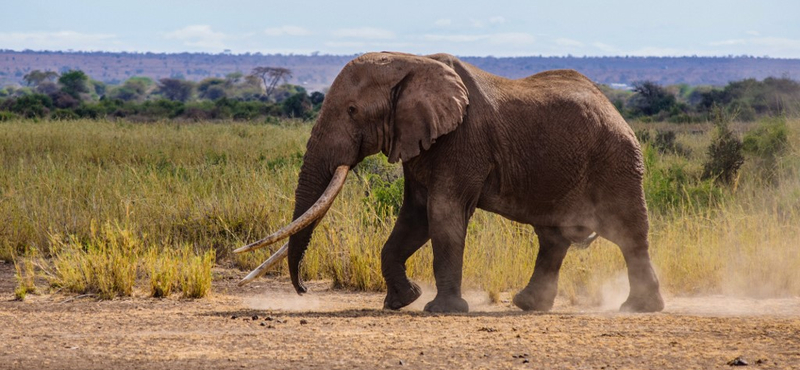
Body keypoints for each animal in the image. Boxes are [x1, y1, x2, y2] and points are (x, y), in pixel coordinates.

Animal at [234, 51, 664, 312]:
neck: (410, 61)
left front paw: (440, 310)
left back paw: (638, 309)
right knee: (553, 238)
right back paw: (528, 305)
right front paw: (402, 301)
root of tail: (615, 109)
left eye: (353, 110)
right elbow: (414, 218)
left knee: (629, 233)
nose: (304, 290)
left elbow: (443, 215)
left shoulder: (462, 141)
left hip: (617, 162)